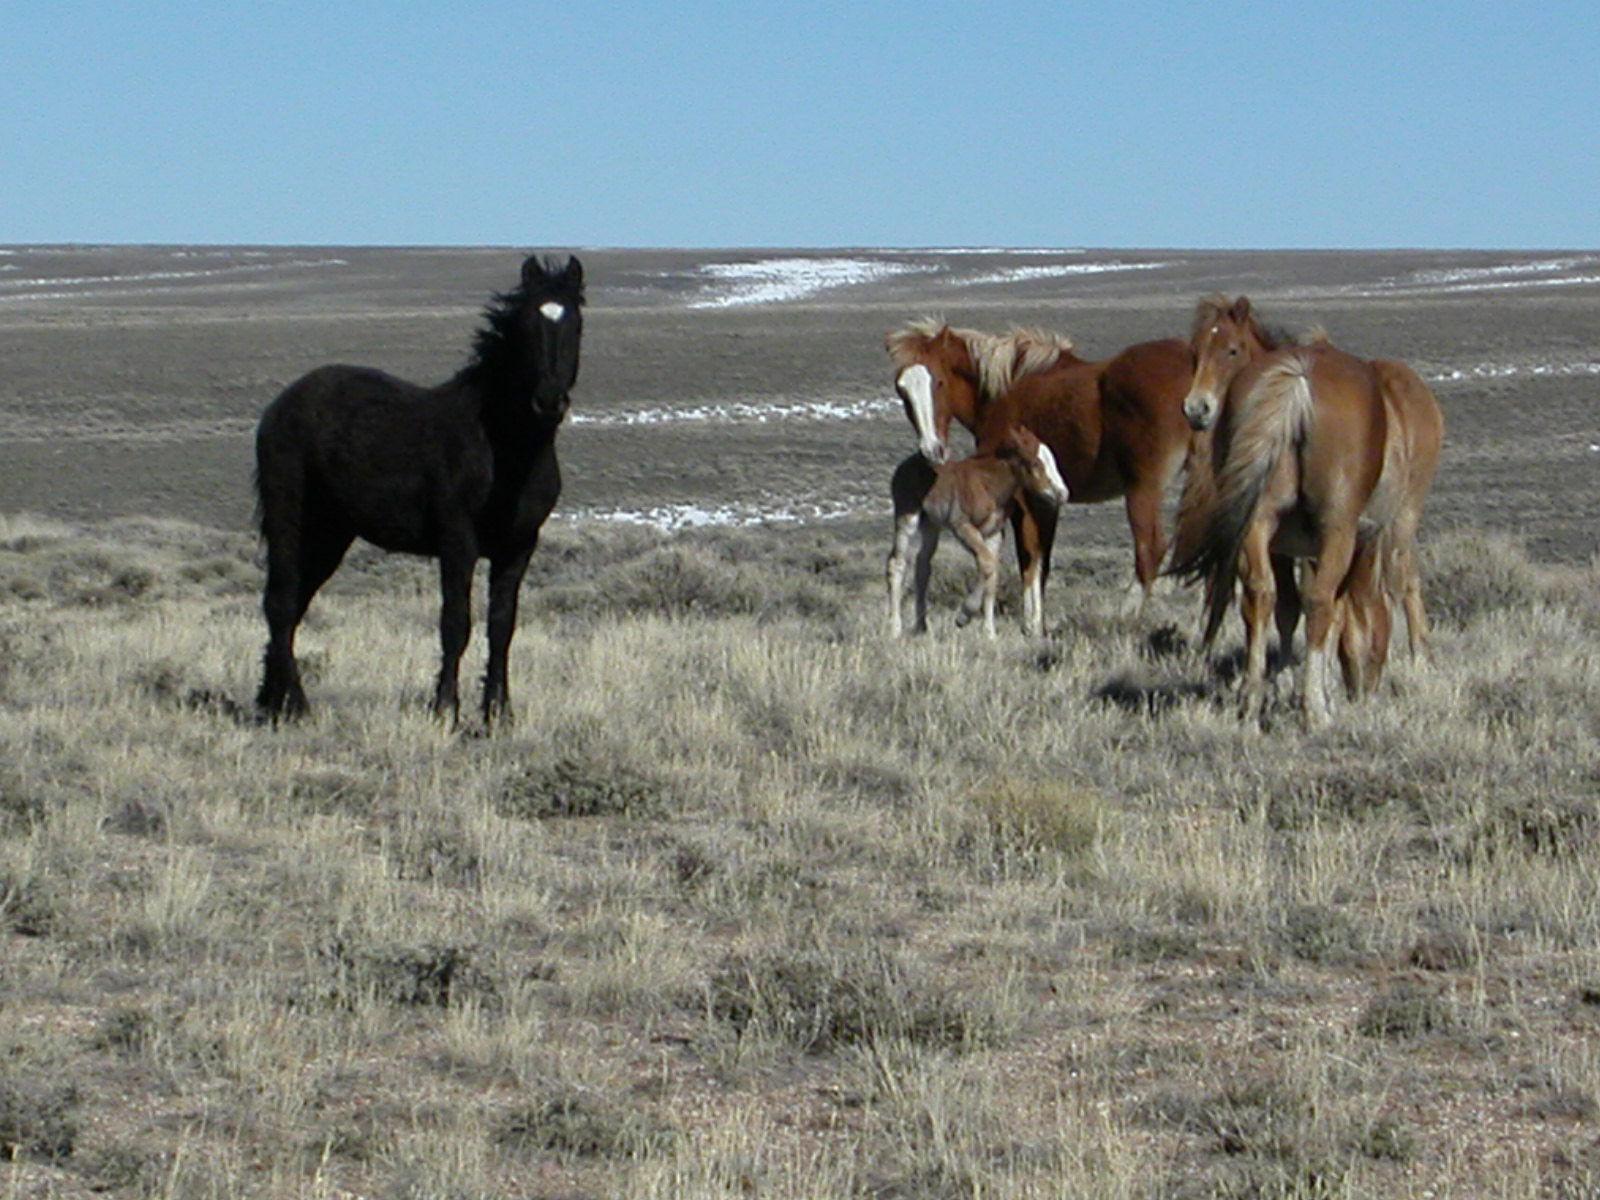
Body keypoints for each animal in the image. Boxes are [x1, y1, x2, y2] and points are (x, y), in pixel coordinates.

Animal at [254, 253, 584, 726]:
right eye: (525, 326)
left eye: (575, 324)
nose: (549, 401)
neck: (501, 446)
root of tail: (281, 405)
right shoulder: (458, 542)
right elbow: (456, 624)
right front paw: (445, 709)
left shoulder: (519, 547)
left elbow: (501, 627)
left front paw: (498, 714)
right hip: (290, 518)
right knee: (280, 604)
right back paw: (296, 707)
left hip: (330, 533)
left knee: (291, 605)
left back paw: (271, 701)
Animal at [886, 427, 1070, 637]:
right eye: (1036, 463)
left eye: (1052, 460)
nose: (1062, 493)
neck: (988, 485)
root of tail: (904, 465)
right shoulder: (963, 527)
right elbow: (987, 564)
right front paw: (963, 616)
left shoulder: (994, 534)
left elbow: (991, 574)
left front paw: (989, 632)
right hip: (907, 517)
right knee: (897, 563)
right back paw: (895, 628)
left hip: (931, 525)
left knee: (922, 566)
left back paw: (921, 627)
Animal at [1169, 296, 1443, 726]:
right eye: (1196, 354)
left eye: (1231, 350)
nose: (1197, 409)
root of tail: (1299, 379)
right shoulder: (1331, 545)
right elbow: (1323, 610)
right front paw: (1313, 688)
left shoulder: (1284, 547)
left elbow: (1288, 607)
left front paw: (1283, 681)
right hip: (1363, 527)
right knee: (1349, 595)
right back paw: (1316, 708)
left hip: (1269, 523)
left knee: (1266, 595)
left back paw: (1253, 699)